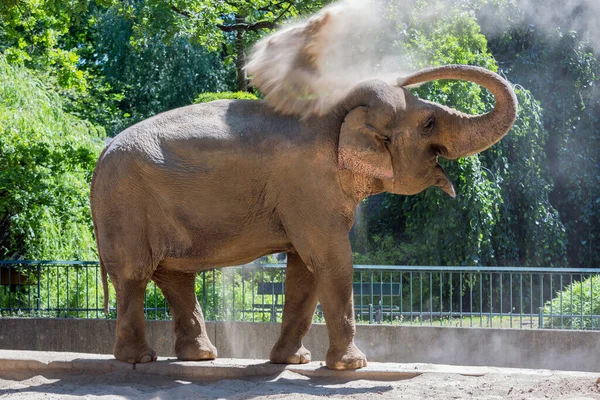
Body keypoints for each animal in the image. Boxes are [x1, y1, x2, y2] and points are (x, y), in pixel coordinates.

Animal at [89, 10, 516, 370]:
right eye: (428, 123)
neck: (336, 113)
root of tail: (101, 154)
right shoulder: (307, 184)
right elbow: (332, 259)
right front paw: (351, 366)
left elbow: (305, 269)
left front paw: (294, 361)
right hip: (125, 204)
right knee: (134, 275)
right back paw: (140, 359)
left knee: (176, 277)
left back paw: (200, 357)